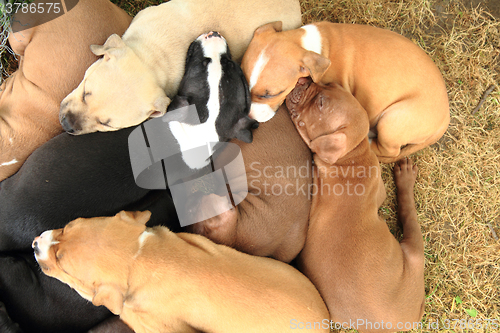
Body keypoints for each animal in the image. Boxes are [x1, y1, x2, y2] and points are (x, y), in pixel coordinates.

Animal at [240, 20, 452, 162]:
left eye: (270, 94)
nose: (246, 116)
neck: (309, 45)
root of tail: (445, 120)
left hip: (393, 121)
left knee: (390, 151)